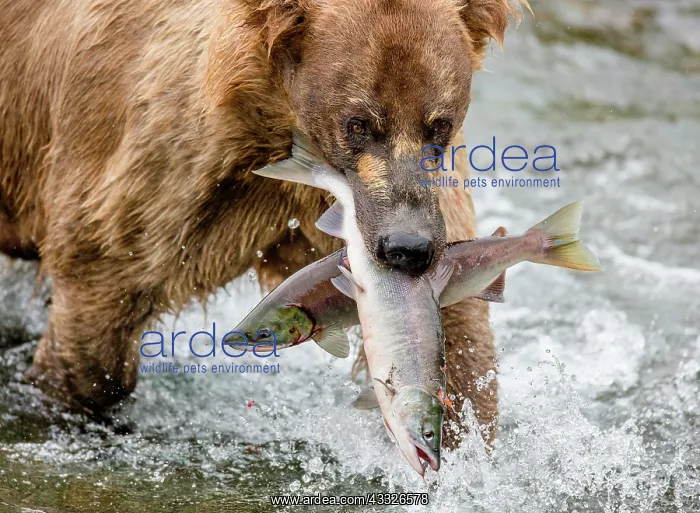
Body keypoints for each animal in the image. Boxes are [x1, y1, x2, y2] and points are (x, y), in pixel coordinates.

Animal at [0, 0, 523, 447]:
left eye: (439, 122)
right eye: (358, 122)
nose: (407, 247)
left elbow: (459, 332)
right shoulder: (147, 166)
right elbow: (99, 313)